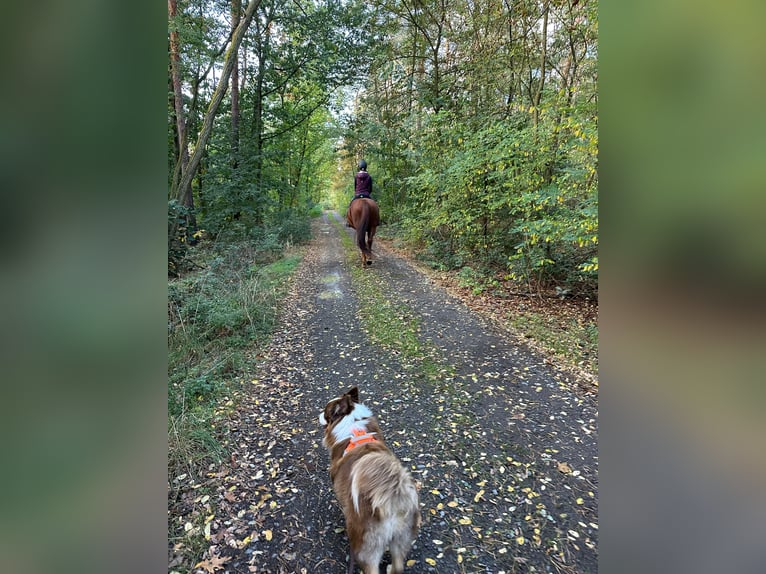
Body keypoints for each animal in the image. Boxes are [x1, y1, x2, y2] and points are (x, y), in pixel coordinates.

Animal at [320, 388, 424, 574]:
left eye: (326, 413)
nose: (318, 415)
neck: (354, 427)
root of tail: (393, 501)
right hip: (401, 539)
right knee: (398, 566)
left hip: (367, 545)